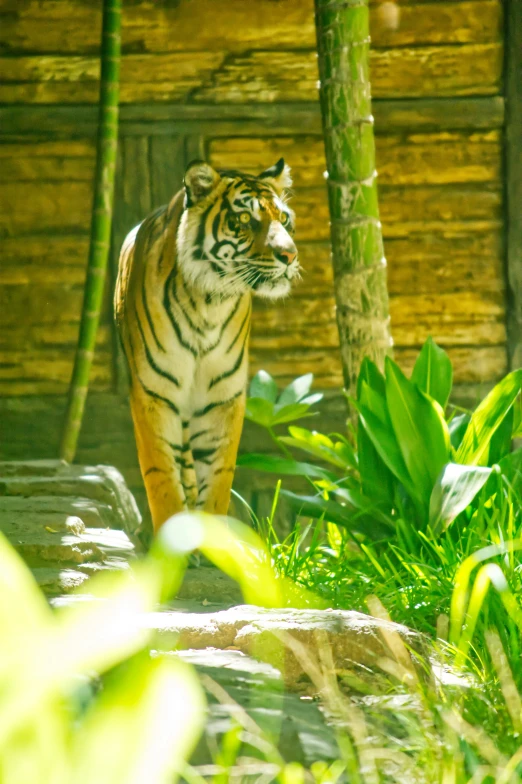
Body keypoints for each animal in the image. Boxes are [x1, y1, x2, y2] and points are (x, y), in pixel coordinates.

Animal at [115, 156, 298, 532]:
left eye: (284, 218)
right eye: (244, 220)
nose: (290, 255)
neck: (208, 303)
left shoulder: (222, 395)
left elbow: (217, 478)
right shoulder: (153, 394)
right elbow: (162, 477)